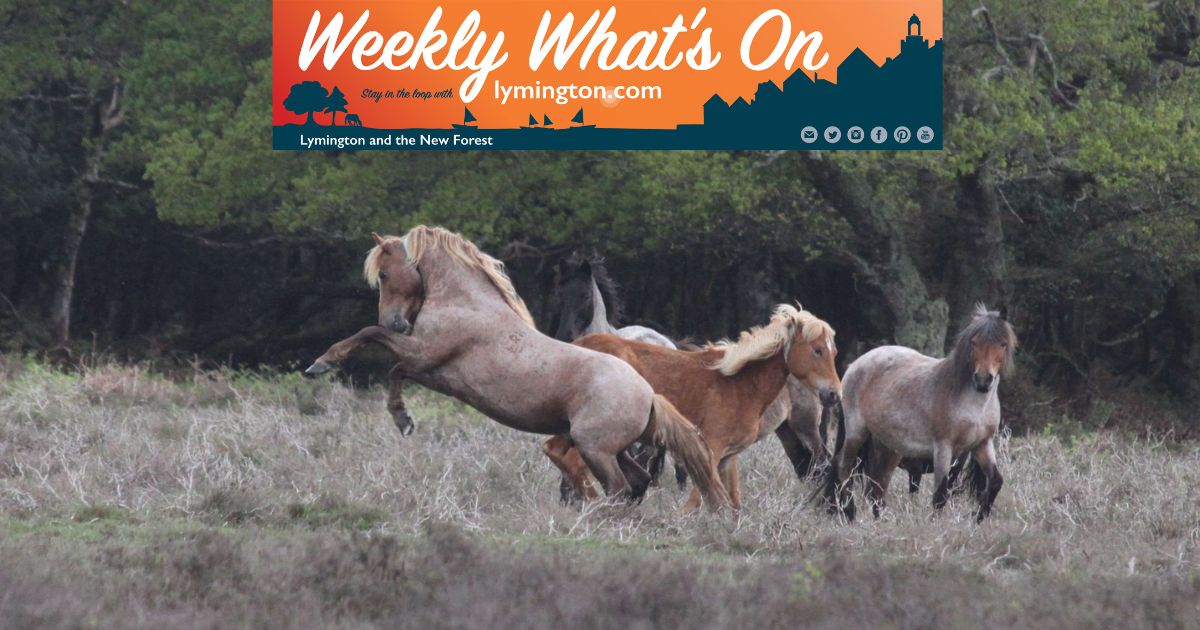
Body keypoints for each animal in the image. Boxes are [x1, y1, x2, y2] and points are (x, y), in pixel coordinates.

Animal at [304, 226, 729, 509]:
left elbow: (371, 338)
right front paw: (403, 419)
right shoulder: (428, 369)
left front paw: (321, 364)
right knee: (637, 484)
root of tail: (648, 393)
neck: (467, 303)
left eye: (385, 274)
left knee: (621, 487)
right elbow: (393, 371)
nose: (395, 321)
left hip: (596, 449)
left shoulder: (423, 356)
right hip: (611, 447)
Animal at [542, 304, 841, 512]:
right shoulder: (711, 447)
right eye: (817, 350)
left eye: (834, 352)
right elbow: (700, 498)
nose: (833, 394)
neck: (740, 383)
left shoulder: (728, 456)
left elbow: (733, 500)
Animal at [827, 304, 1016, 522]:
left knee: (877, 487)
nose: (983, 381)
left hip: (888, 447)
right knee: (845, 469)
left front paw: (978, 517)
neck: (974, 405)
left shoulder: (981, 445)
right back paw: (850, 514)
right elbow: (940, 495)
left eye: (1003, 344)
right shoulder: (943, 448)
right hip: (857, 433)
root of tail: (855, 365)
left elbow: (995, 481)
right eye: (974, 342)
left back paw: (881, 521)